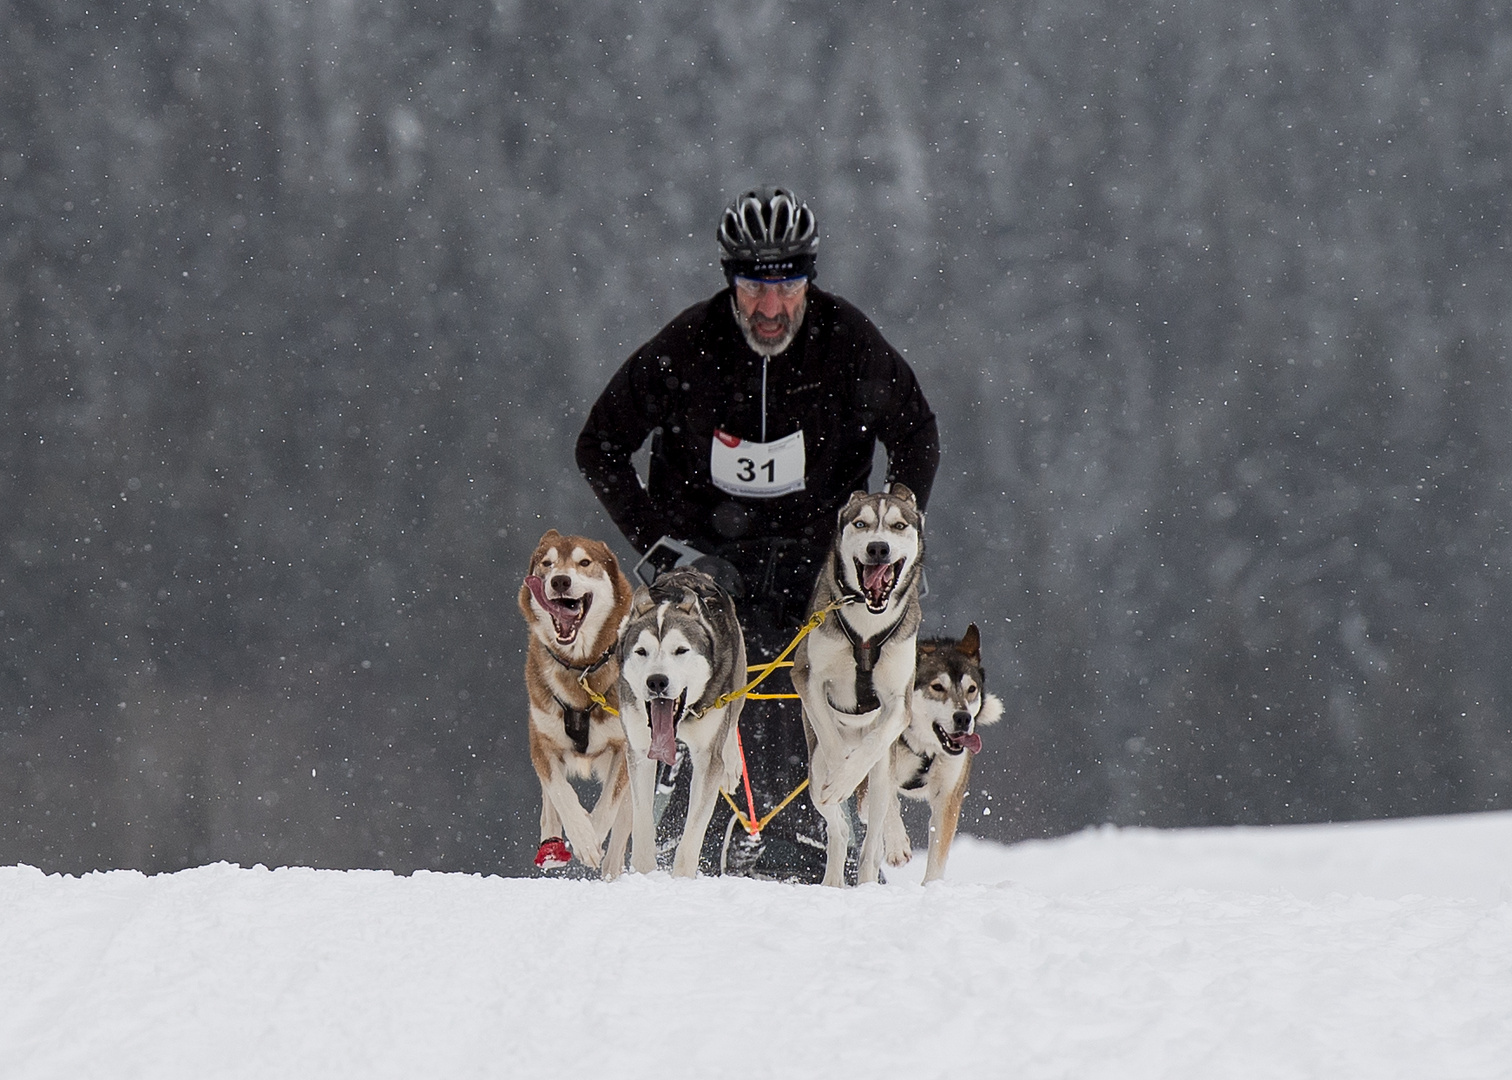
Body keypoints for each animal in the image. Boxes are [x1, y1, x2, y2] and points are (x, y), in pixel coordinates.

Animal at [520, 529, 632, 877]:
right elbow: (558, 790)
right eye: (547, 564)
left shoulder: (625, 747)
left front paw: (591, 837)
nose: (560, 581)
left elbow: (609, 805)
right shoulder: (540, 738)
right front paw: (579, 836)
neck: (580, 667)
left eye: (584, 562)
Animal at [616, 562, 746, 877]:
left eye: (681, 650)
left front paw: (682, 880)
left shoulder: (707, 758)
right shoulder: (640, 751)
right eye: (641, 651)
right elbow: (642, 823)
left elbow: (692, 836)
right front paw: (644, 874)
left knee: (733, 721)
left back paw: (732, 765)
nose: (656, 681)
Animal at [792, 487, 919, 883]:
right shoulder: (806, 677)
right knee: (838, 829)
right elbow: (834, 750)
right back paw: (833, 879)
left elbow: (876, 741)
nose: (878, 548)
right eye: (861, 523)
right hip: (813, 771)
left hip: (881, 775)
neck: (866, 630)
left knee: (872, 837)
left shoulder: (898, 703)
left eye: (898, 525)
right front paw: (841, 775)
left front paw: (849, 773)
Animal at [864, 623, 1003, 883]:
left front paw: (932, 887)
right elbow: (888, 802)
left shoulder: (948, 795)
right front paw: (897, 845)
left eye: (971, 689)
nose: (963, 718)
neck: (920, 746)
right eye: (937, 687)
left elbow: (939, 851)